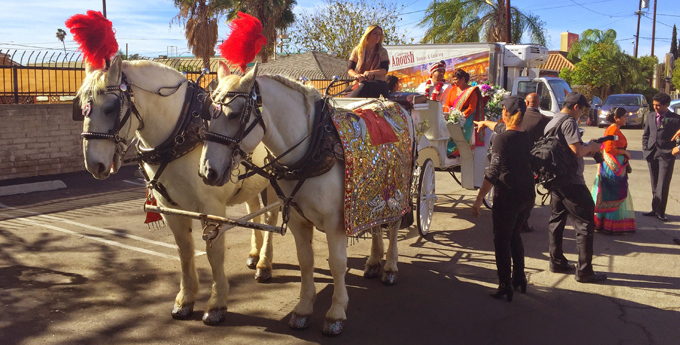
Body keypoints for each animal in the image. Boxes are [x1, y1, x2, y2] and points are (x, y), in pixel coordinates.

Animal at [79, 55, 278, 322]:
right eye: (81, 107)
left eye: (110, 108)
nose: (94, 164)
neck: (182, 135)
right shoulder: (170, 208)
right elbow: (184, 251)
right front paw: (185, 299)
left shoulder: (211, 208)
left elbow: (215, 254)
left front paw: (217, 304)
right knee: (254, 210)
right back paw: (255, 255)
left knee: (270, 217)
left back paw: (264, 264)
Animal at [199, 61, 414, 334]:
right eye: (207, 114)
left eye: (235, 114)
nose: (208, 171)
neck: (311, 148)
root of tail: (391, 103)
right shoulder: (297, 220)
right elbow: (305, 261)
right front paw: (303, 309)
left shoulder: (335, 223)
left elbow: (337, 264)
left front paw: (336, 313)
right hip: (369, 199)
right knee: (375, 226)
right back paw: (374, 262)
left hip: (396, 191)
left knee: (393, 227)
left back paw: (390, 267)